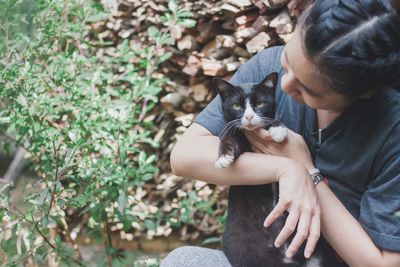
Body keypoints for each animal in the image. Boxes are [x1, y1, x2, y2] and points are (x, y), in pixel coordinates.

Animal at [212, 73, 346, 267]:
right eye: (237, 106)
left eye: (260, 103)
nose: (249, 116)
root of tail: (287, 256)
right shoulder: (238, 135)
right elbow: (229, 134)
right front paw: (223, 157)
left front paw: (277, 129)